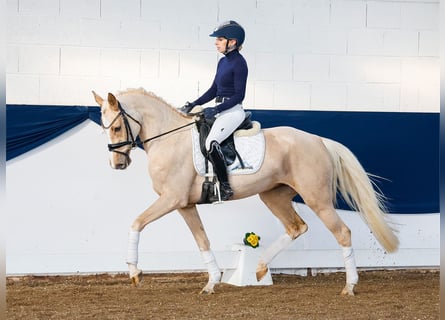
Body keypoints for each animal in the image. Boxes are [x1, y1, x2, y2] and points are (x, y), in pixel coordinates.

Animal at [92, 87, 398, 296]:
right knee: (296, 227)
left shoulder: (171, 199)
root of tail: (318, 140)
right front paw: (212, 282)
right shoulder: (185, 204)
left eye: (116, 127)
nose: (117, 164)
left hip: (317, 198)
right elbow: (202, 241)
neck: (170, 139)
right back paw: (260, 267)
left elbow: (136, 223)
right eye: (105, 129)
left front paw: (134, 272)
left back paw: (350, 286)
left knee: (342, 232)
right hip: (273, 195)